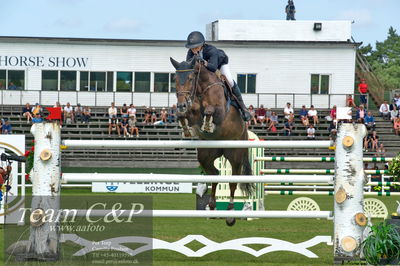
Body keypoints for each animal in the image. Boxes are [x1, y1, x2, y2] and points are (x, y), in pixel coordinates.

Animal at [169, 56, 253, 227]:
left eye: (190, 78)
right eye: (175, 79)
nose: (181, 104)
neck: (201, 89)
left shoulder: (220, 112)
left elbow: (209, 111)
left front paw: (208, 125)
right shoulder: (193, 112)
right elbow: (185, 115)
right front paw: (187, 128)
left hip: (235, 155)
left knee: (233, 181)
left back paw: (230, 213)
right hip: (206, 154)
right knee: (214, 174)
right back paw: (212, 206)